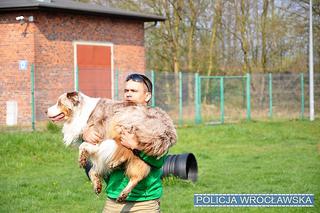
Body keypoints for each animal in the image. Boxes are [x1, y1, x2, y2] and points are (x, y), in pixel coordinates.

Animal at [47, 91, 178, 201]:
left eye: (59, 103)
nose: (45, 111)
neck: (80, 112)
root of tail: (169, 131)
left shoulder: (99, 135)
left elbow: (84, 146)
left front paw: (82, 159)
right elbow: (93, 170)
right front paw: (97, 185)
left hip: (123, 122)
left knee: (127, 148)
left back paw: (117, 163)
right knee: (138, 174)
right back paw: (123, 191)